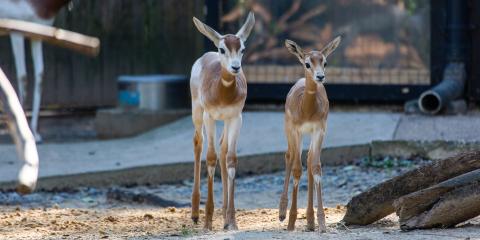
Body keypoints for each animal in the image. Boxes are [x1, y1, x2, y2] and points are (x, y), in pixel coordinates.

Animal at [189, 12, 255, 230]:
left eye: (242, 49)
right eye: (222, 49)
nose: (235, 67)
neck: (222, 92)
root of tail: (204, 56)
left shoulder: (236, 117)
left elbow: (231, 159)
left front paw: (232, 221)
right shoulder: (209, 117)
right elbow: (210, 158)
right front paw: (208, 221)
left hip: (225, 121)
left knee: (223, 148)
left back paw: (225, 212)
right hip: (197, 112)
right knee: (198, 143)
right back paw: (195, 213)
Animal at [278, 36, 342, 232]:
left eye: (325, 62)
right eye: (307, 63)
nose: (320, 76)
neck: (305, 109)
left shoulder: (319, 129)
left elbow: (315, 167)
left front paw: (321, 223)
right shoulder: (295, 130)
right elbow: (297, 169)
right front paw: (291, 221)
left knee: (307, 158)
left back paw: (310, 221)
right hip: (288, 131)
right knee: (289, 156)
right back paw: (282, 213)